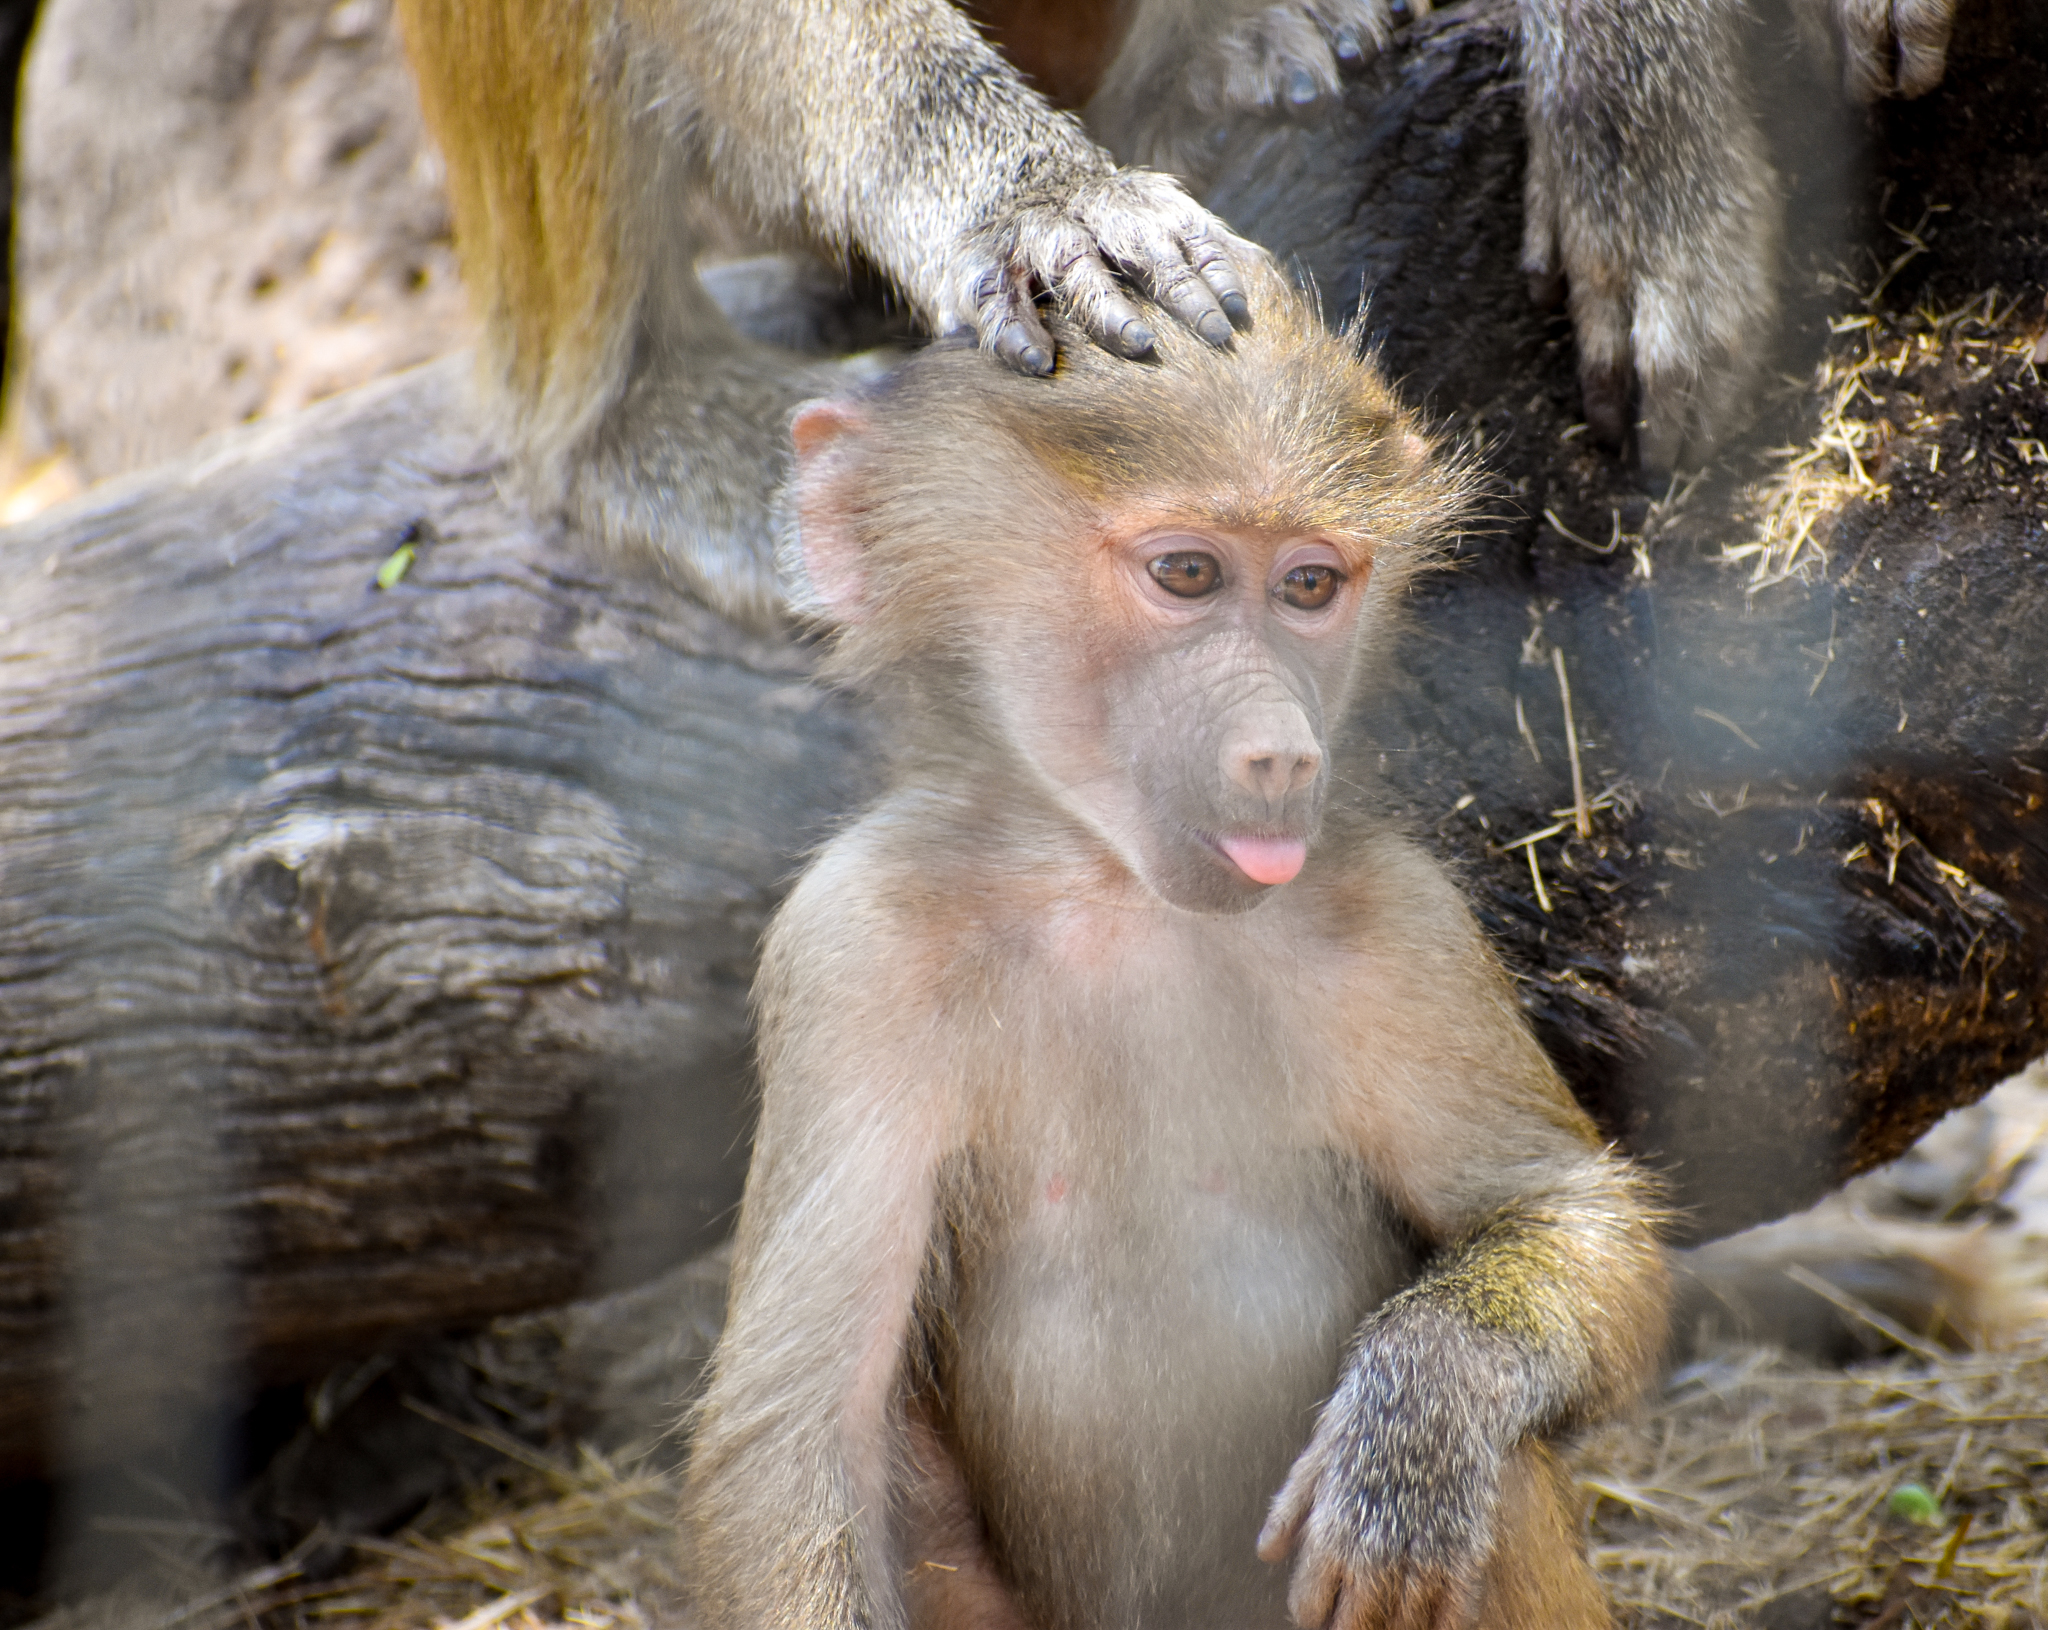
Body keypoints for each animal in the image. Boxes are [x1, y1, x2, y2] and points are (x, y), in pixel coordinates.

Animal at [681, 262, 1670, 1630]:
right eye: (1187, 574)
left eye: (1309, 587)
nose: (1282, 754)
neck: (1113, 892)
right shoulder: (850, 941)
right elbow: (797, 1428)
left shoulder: (1404, 918)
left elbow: (1564, 1208)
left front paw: (1419, 1414)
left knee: (1503, 1476)